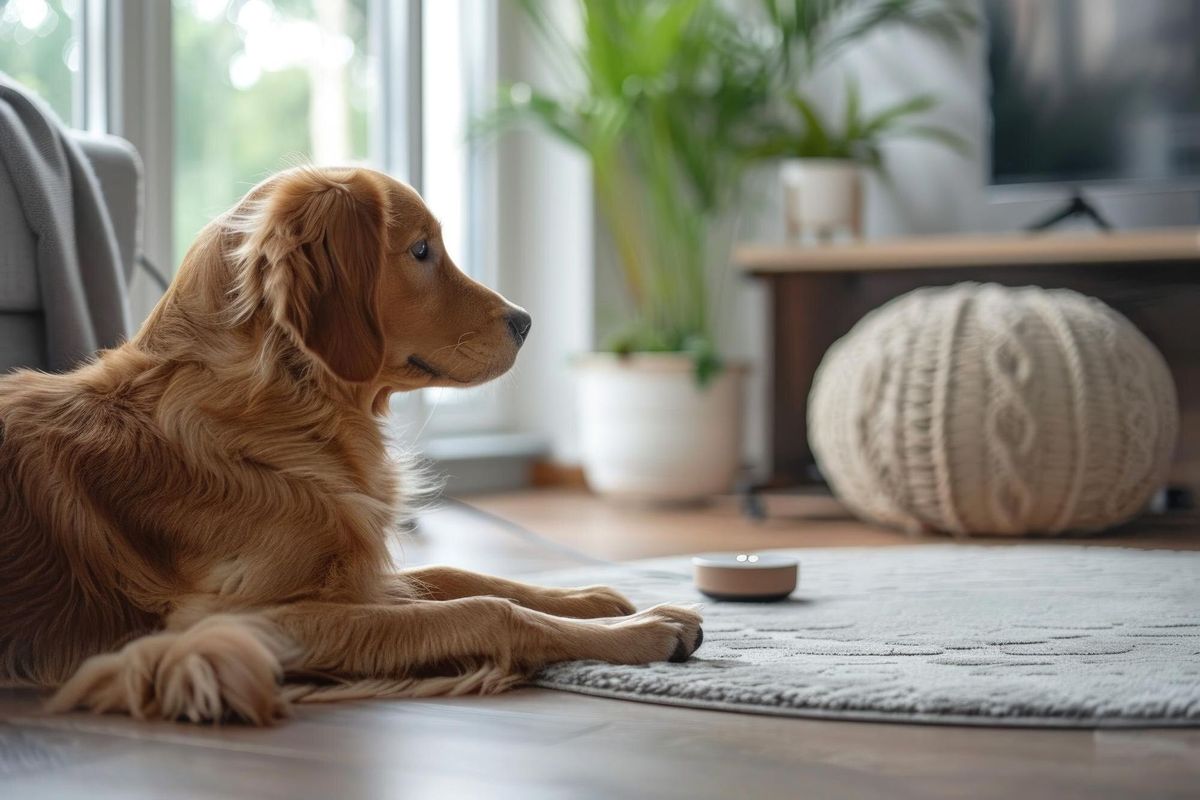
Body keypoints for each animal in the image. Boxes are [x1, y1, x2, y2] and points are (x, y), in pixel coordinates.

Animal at [0, 165, 700, 724]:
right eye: (421, 250)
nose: (526, 322)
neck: (279, 409)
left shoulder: (353, 569)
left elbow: (455, 574)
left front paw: (588, 599)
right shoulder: (218, 623)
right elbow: (486, 610)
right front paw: (641, 630)